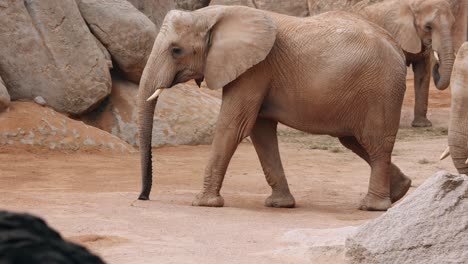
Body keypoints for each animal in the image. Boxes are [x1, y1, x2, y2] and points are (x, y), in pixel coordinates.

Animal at [137, 5, 412, 211]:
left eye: (176, 50)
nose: (143, 197)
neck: (211, 14)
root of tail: (398, 49)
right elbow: (260, 132)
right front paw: (279, 204)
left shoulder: (254, 70)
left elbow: (233, 125)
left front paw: (203, 203)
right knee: (355, 141)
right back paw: (401, 190)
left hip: (380, 90)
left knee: (375, 143)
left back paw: (372, 206)